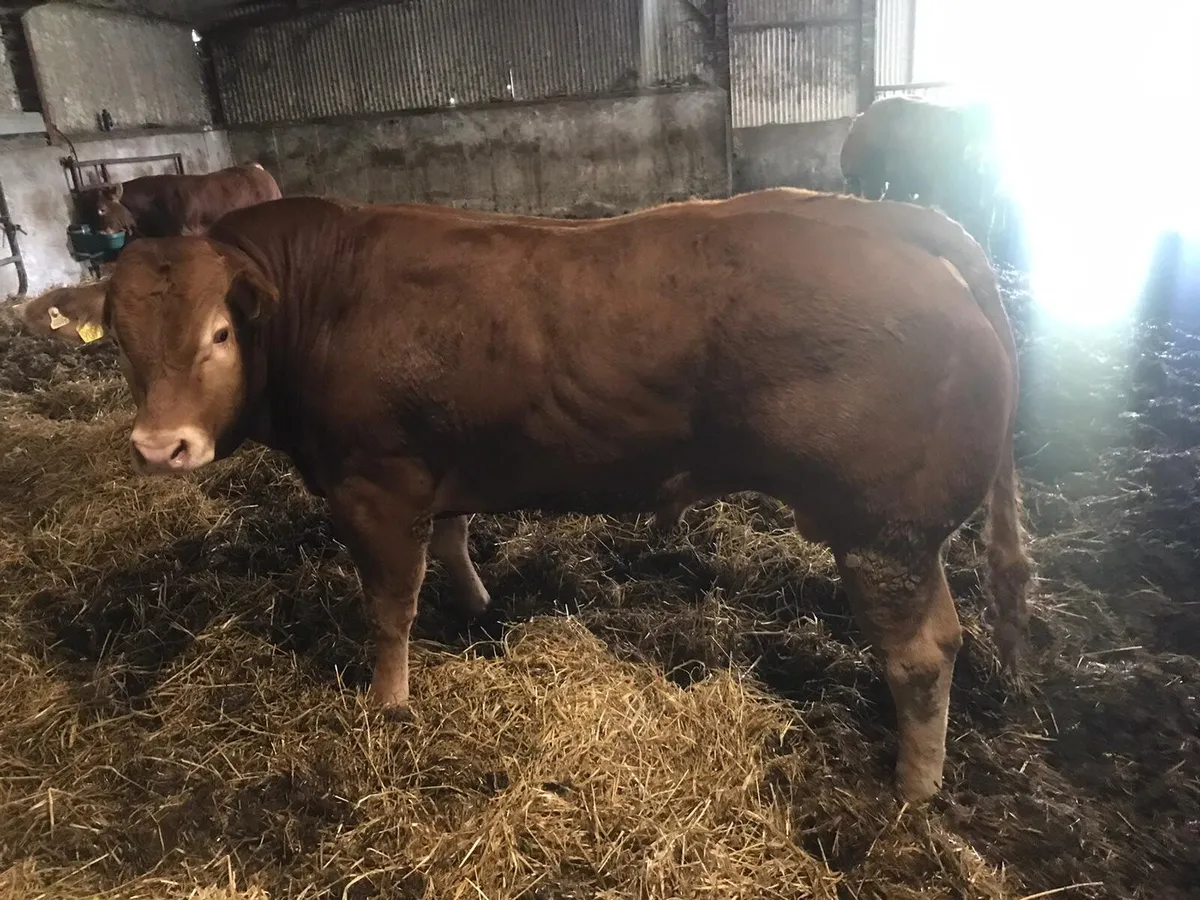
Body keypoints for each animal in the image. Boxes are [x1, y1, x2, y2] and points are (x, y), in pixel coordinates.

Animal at [97, 190, 1031, 802]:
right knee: (950, 635)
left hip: (884, 529)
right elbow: (452, 539)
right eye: (120, 338)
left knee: (920, 656)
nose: (159, 447)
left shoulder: (374, 482)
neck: (321, 302)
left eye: (220, 333)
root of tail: (903, 224)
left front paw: (388, 704)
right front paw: (476, 605)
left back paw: (913, 789)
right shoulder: (439, 464)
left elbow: (389, 606)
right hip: (901, 536)